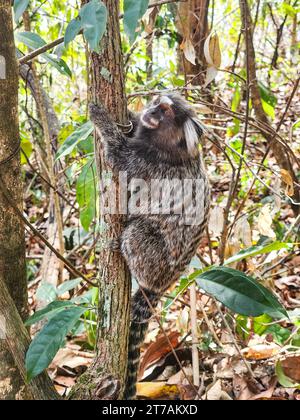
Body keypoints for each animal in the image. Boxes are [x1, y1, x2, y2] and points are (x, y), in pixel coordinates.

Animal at [90, 93, 210, 398]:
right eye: (156, 100)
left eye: (164, 111)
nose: (152, 110)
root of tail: (160, 284)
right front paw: (131, 116)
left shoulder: (147, 164)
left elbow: (117, 155)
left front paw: (100, 118)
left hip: (153, 260)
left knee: (137, 233)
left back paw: (120, 248)